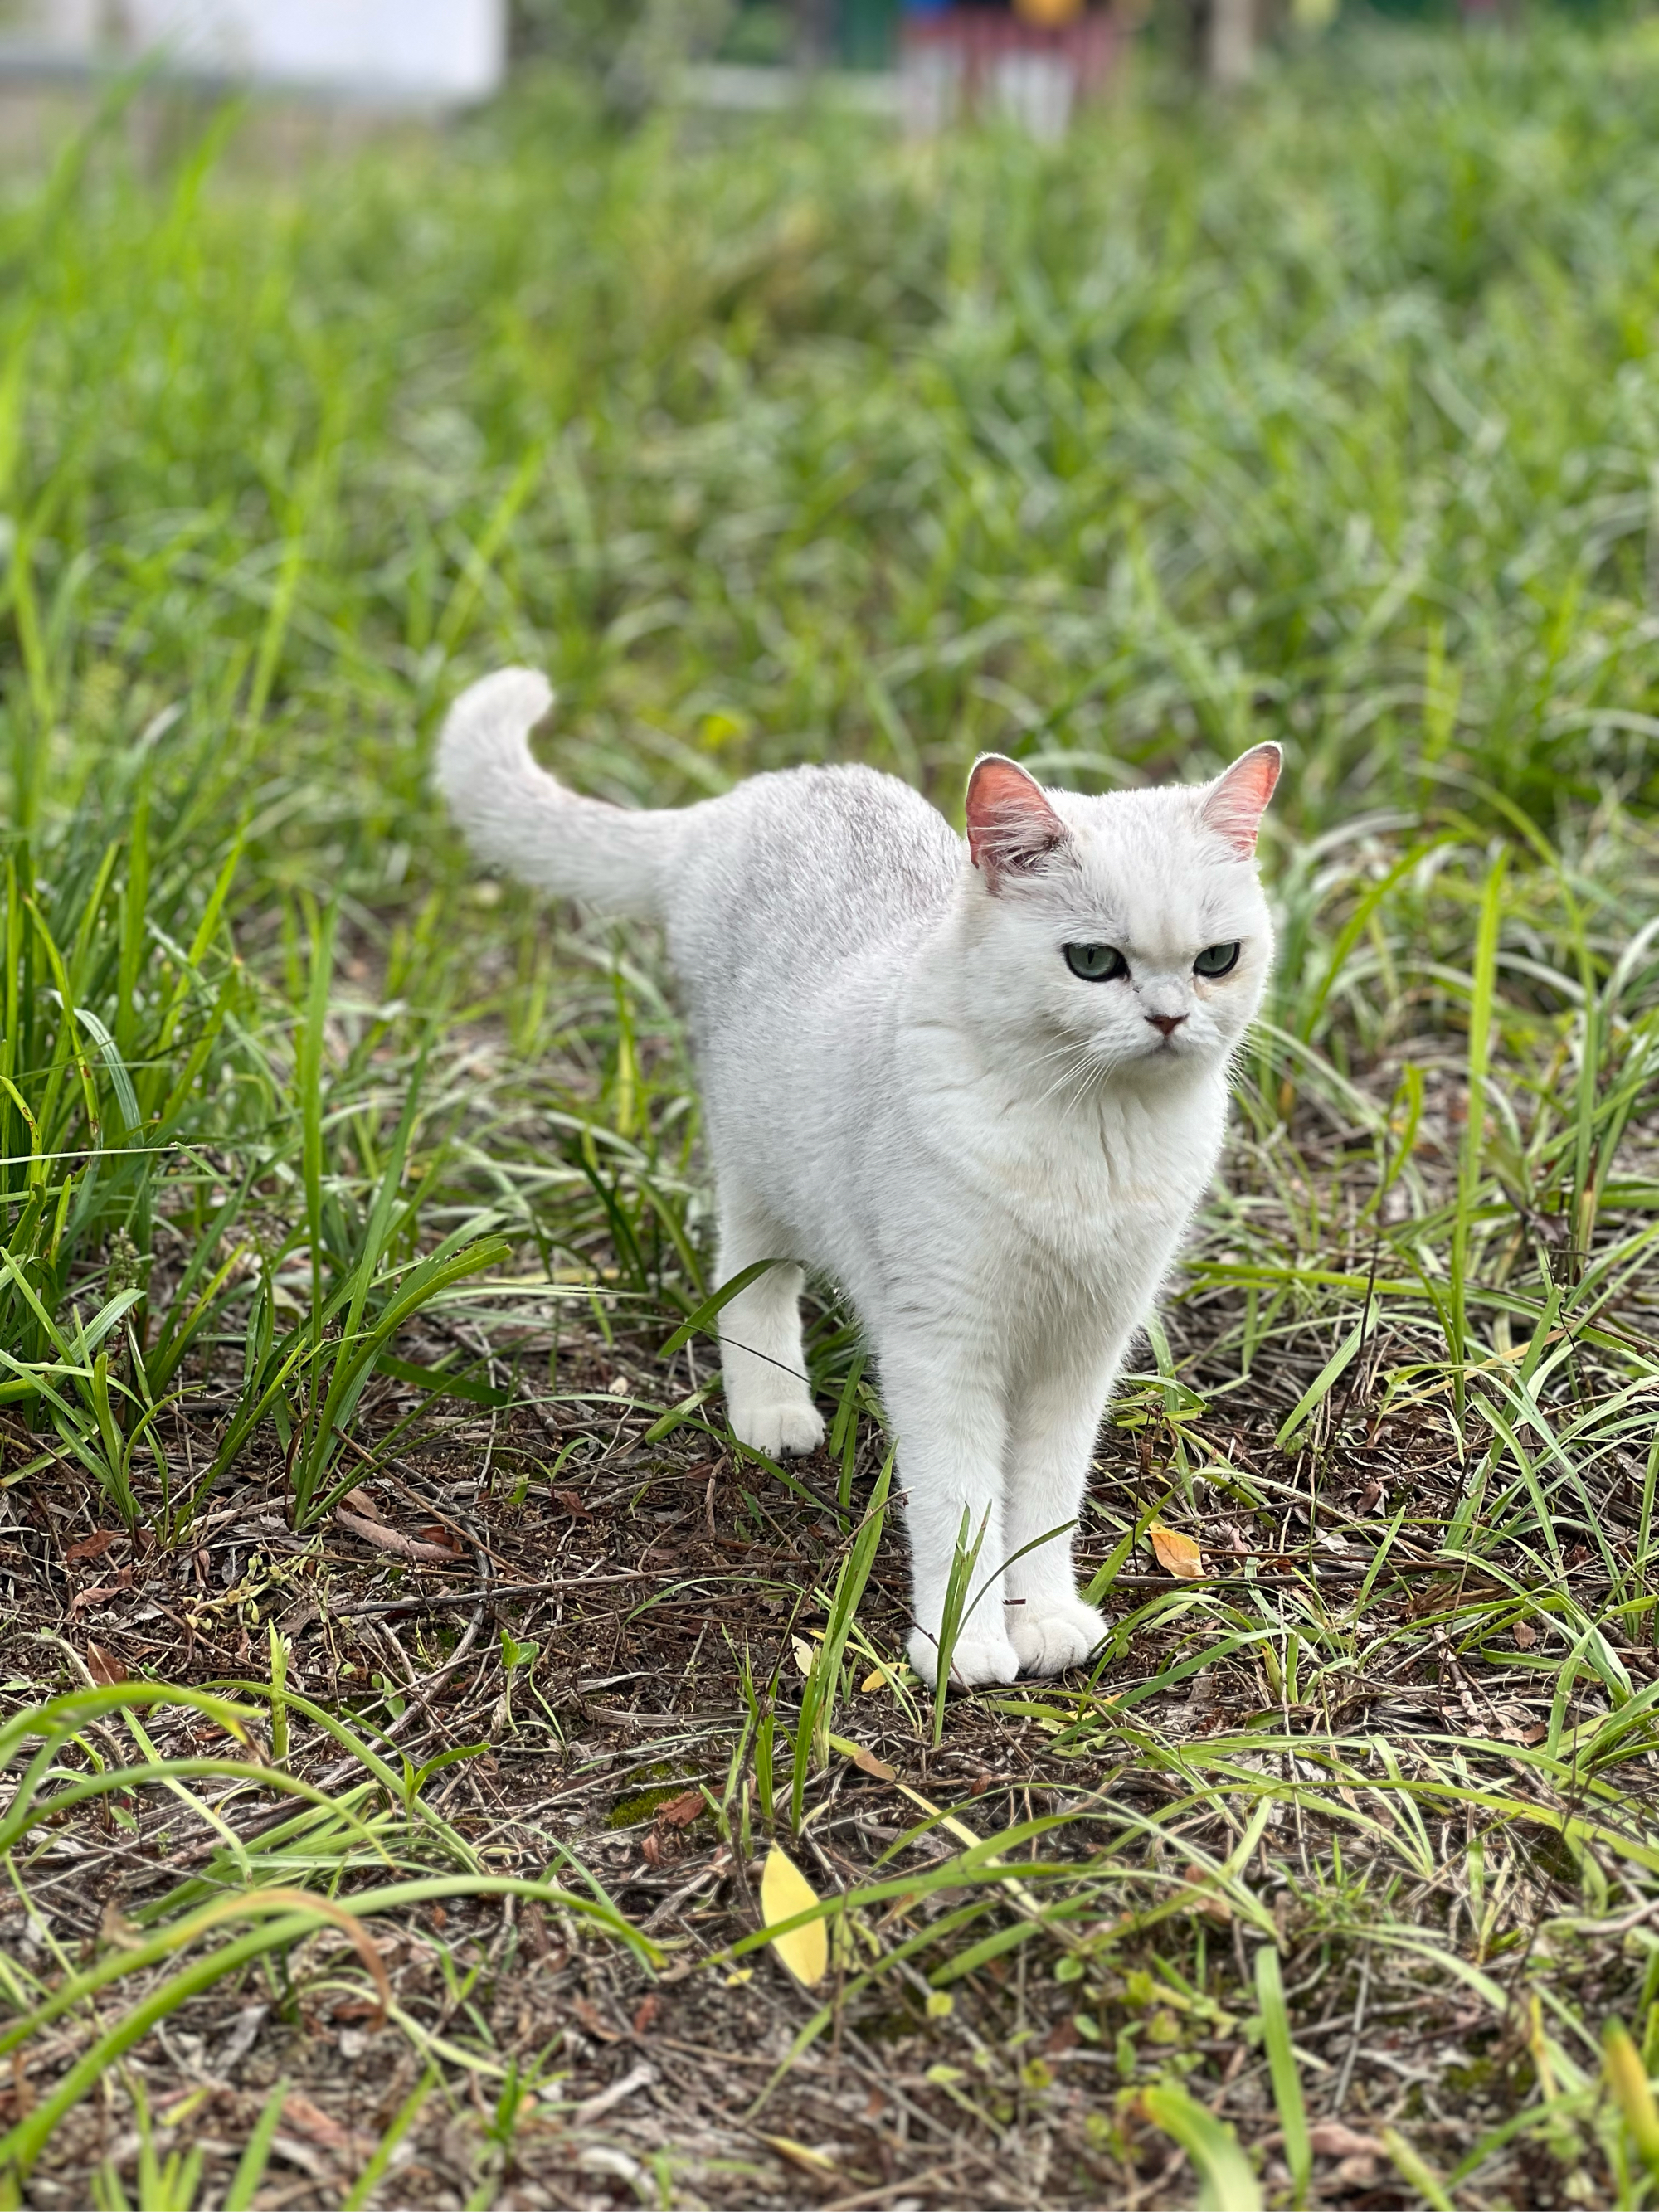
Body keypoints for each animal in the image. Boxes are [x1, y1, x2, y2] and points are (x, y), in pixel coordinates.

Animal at [435, 664, 1282, 1680]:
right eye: (1092, 962)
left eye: (1215, 961)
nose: (1167, 1019)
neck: (1091, 1134)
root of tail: (751, 797)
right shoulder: (942, 1348)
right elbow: (963, 1506)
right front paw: (963, 1643)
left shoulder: (1082, 1351)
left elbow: (1045, 1503)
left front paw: (1041, 1619)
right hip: (759, 1170)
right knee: (749, 1278)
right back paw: (773, 1409)